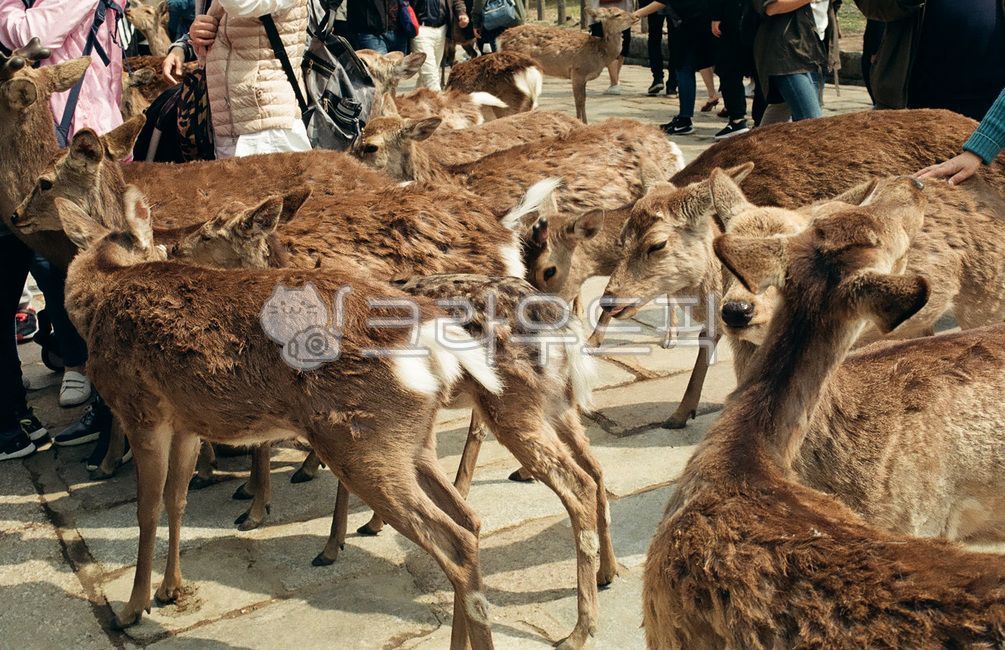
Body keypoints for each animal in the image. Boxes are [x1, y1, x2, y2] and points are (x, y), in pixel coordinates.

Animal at [60, 188, 610, 649]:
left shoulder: (145, 409)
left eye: (214, 231)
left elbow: (150, 509)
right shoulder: (187, 420)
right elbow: (178, 499)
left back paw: (577, 628)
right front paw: (175, 584)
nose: (172, 247)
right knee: (553, 487)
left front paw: (135, 605)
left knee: (512, 508)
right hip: (475, 422)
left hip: (415, 426)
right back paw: (599, 580)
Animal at [498, 7, 636, 123]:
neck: (600, 54)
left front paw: (585, 122)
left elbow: (583, 99)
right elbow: (579, 101)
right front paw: (580, 122)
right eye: (617, 14)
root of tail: (500, 38)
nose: (635, 17)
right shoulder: (578, 71)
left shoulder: (583, 77)